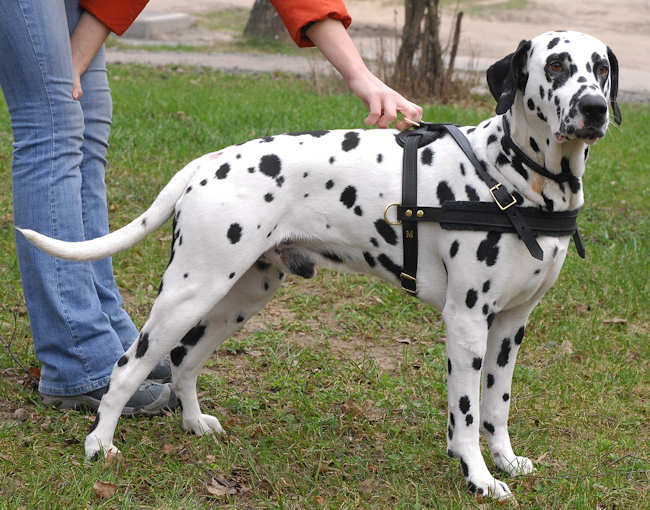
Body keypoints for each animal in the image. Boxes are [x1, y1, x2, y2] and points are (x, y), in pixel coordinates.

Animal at [19, 29, 616, 500]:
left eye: (601, 68)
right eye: (557, 65)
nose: (594, 108)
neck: (511, 176)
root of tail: (212, 160)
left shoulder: (511, 326)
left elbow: (497, 405)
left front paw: (506, 460)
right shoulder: (466, 321)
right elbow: (466, 415)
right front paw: (478, 477)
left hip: (238, 298)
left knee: (185, 361)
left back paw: (192, 423)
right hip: (189, 294)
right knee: (127, 366)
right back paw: (100, 443)